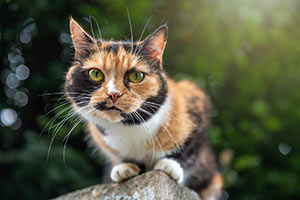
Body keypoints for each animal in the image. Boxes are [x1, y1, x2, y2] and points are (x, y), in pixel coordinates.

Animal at [63, 17, 223, 200]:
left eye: (136, 76)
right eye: (95, 74)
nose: (113, 94)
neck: (130, 127)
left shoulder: (196, 102)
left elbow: (188, 151)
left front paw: (170, 165)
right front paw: (125, 168)